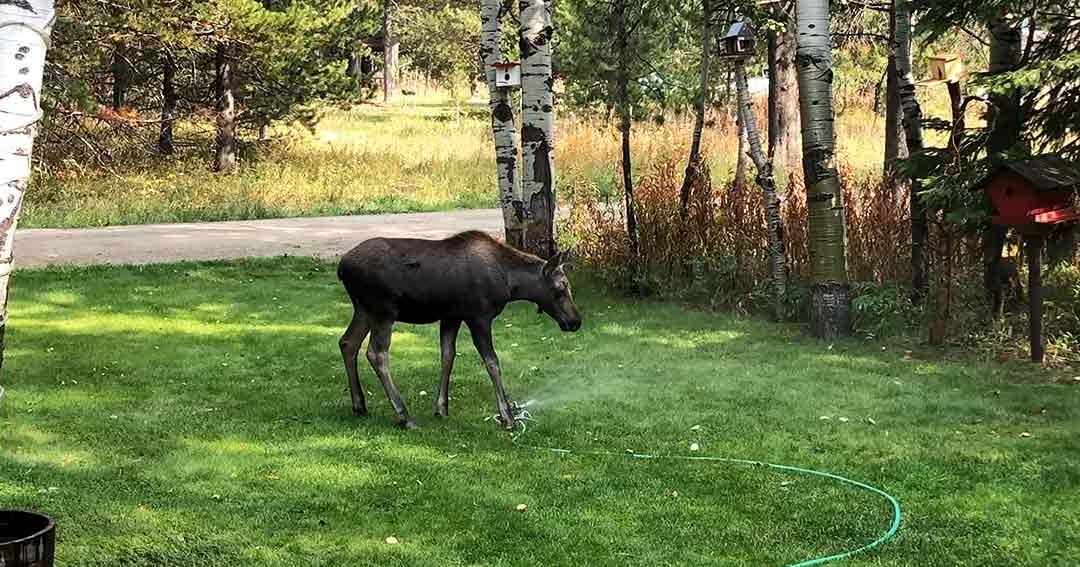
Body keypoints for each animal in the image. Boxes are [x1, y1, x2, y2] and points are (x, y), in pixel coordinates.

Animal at [337, 231, 581, 430]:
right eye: (561, 286)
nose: (576, 321)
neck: (511, 284)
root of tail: (341, 268)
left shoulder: (451, 316)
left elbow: (448, 356)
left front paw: (441, 408)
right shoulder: (478, 316)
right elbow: (492, 362)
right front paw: (507, 416)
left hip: (363, 309)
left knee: (348, 342)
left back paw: (359, 404)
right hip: (383, 310)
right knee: (376, 353)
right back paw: (404, 416)